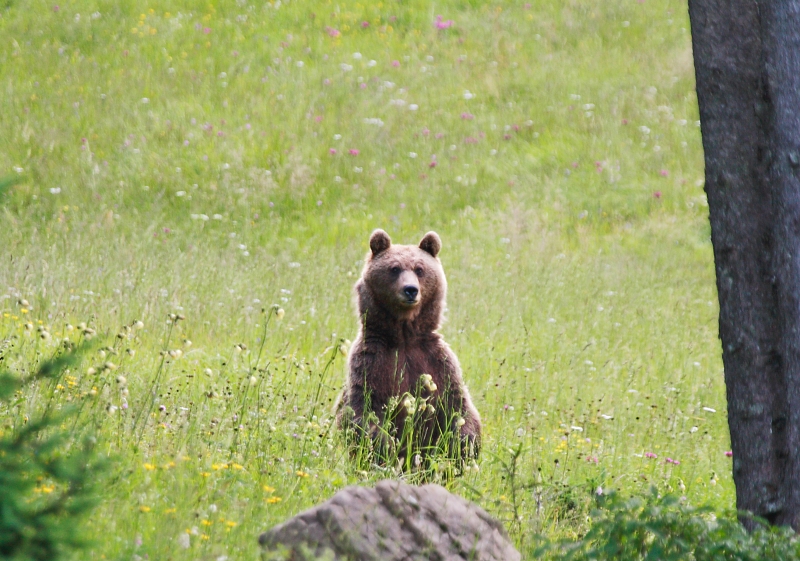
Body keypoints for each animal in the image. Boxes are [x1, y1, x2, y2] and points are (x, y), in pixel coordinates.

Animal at [338, 228, 482, 468]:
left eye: (419, 269)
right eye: (394, 268)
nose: (410, 290)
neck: (405, 338)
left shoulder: (437, 362)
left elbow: (458, 406)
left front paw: (464, 444)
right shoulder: (372, 361)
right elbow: (362, 409)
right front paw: (386, 447)